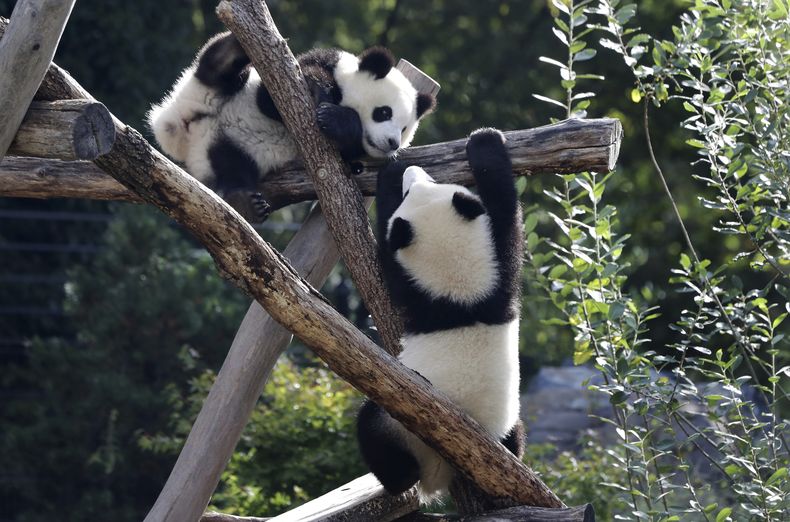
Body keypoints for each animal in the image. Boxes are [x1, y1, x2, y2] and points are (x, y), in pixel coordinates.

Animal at [148, 32, 437, 222]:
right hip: (210, 89)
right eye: (384, 112)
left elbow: (348, 152)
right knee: (216, 69)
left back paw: (245, 203)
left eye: (404, 129)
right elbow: (270, 100)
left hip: (226, 150)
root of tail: (184, 129)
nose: (392, 143)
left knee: (232, 169)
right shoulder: (306, 68)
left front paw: (337, 121)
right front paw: (320, 91)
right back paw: (232, 47)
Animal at [357, 128, 525, 502]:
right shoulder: (500, 275)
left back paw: (400, 479)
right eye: (427, 182)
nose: (412, 171)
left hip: (400, 424)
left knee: (371, 425)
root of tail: (440, 470)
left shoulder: (414, 290)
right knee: (516, 434)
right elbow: (506, 213)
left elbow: (387, 264)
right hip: (505, 424)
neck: (459, 292)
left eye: (412, 191)